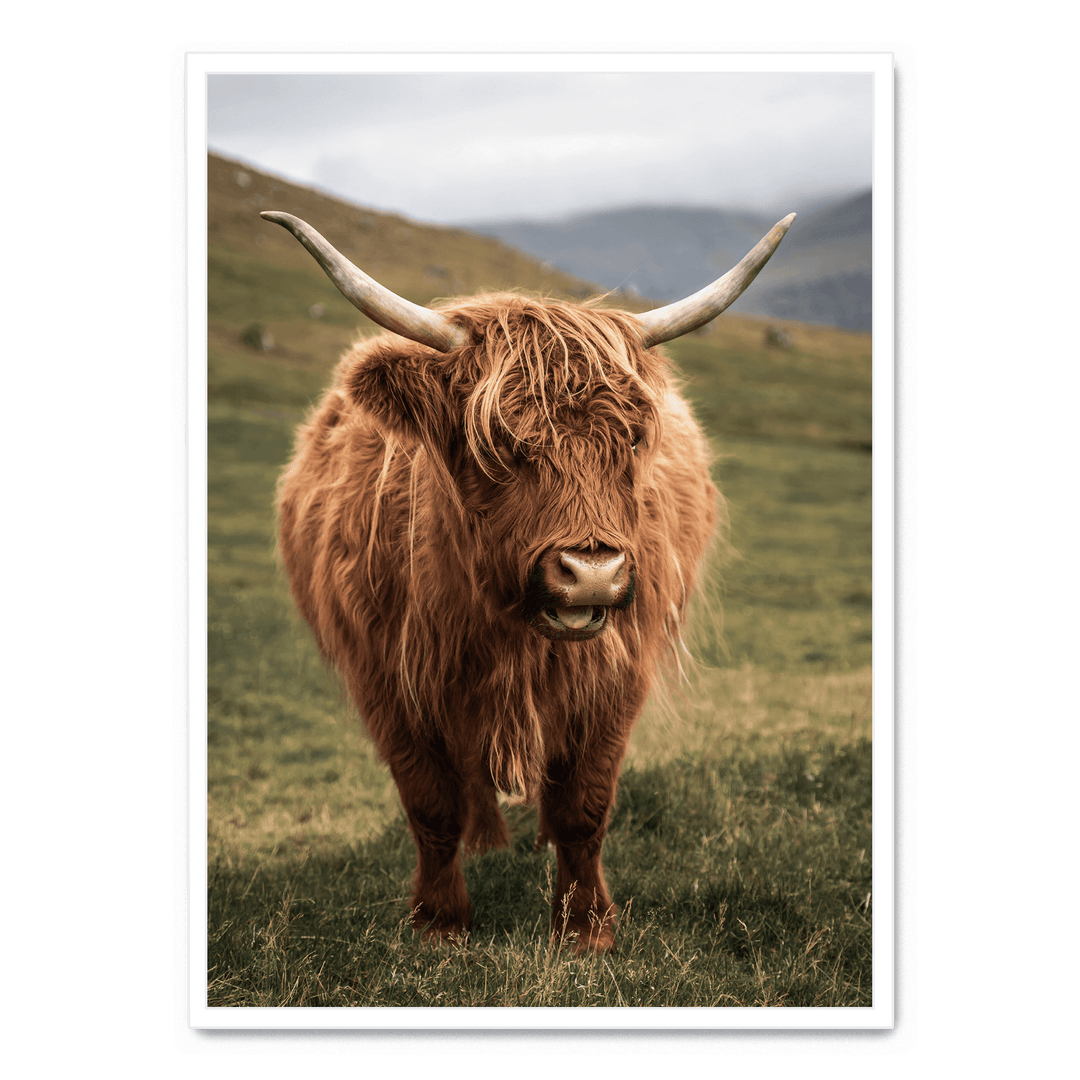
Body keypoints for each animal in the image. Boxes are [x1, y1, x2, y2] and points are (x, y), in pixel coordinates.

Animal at [265, 208, 794, 953]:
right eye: (500, 444)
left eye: (632, 440)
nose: (592, 573)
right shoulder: (386, 679)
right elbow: (431, 804)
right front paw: (440, 922)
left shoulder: (615, 676)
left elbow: (583, 807)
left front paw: (586, 928)